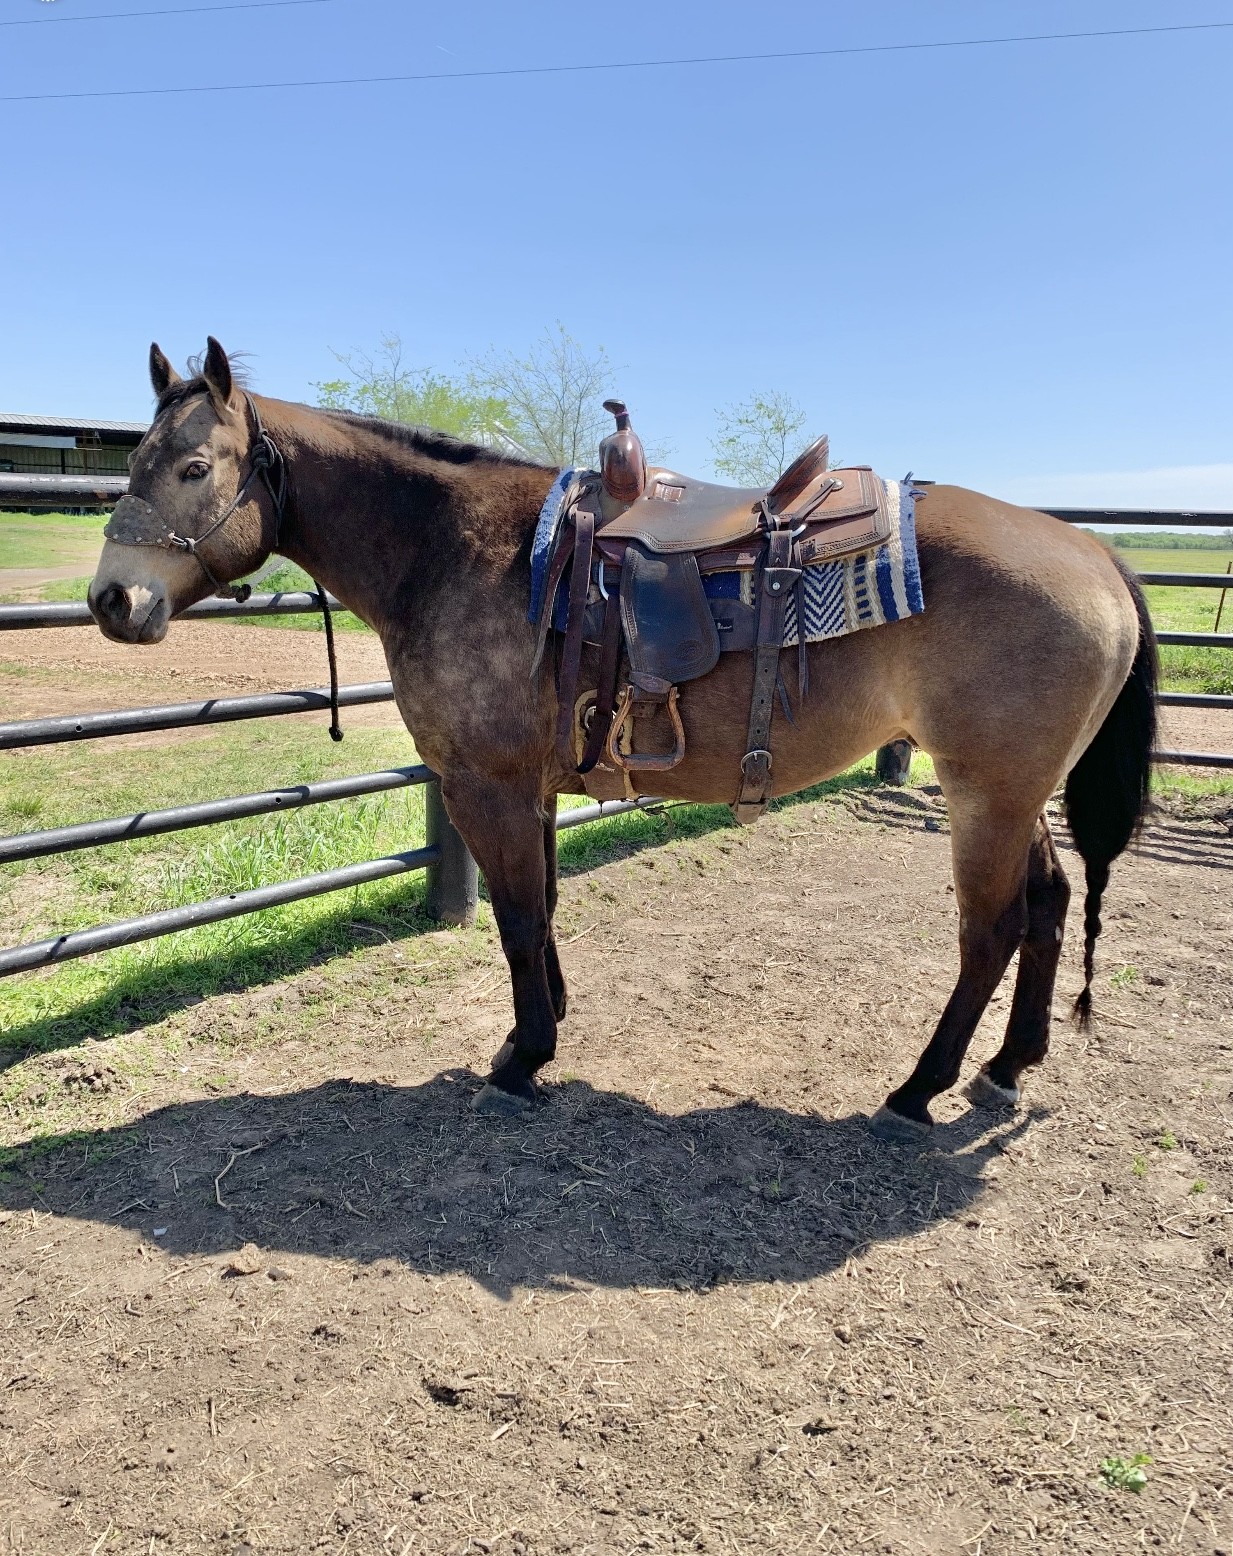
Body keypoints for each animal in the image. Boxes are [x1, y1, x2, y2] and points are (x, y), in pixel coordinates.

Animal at [86, 343, 1158, 1145]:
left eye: (192, 469)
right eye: (129, 466)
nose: (112, 602)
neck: (455, 547)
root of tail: (1093, 552)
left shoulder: (484, 784)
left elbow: (518, 919)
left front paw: (521, 1061)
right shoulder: (532, 786)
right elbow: (542, 910)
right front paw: (545, 1028)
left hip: (985, 793)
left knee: (991, 931)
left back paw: (915, 1089)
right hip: (1017, 794)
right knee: (1050, 904)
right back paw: (1006, 1067)